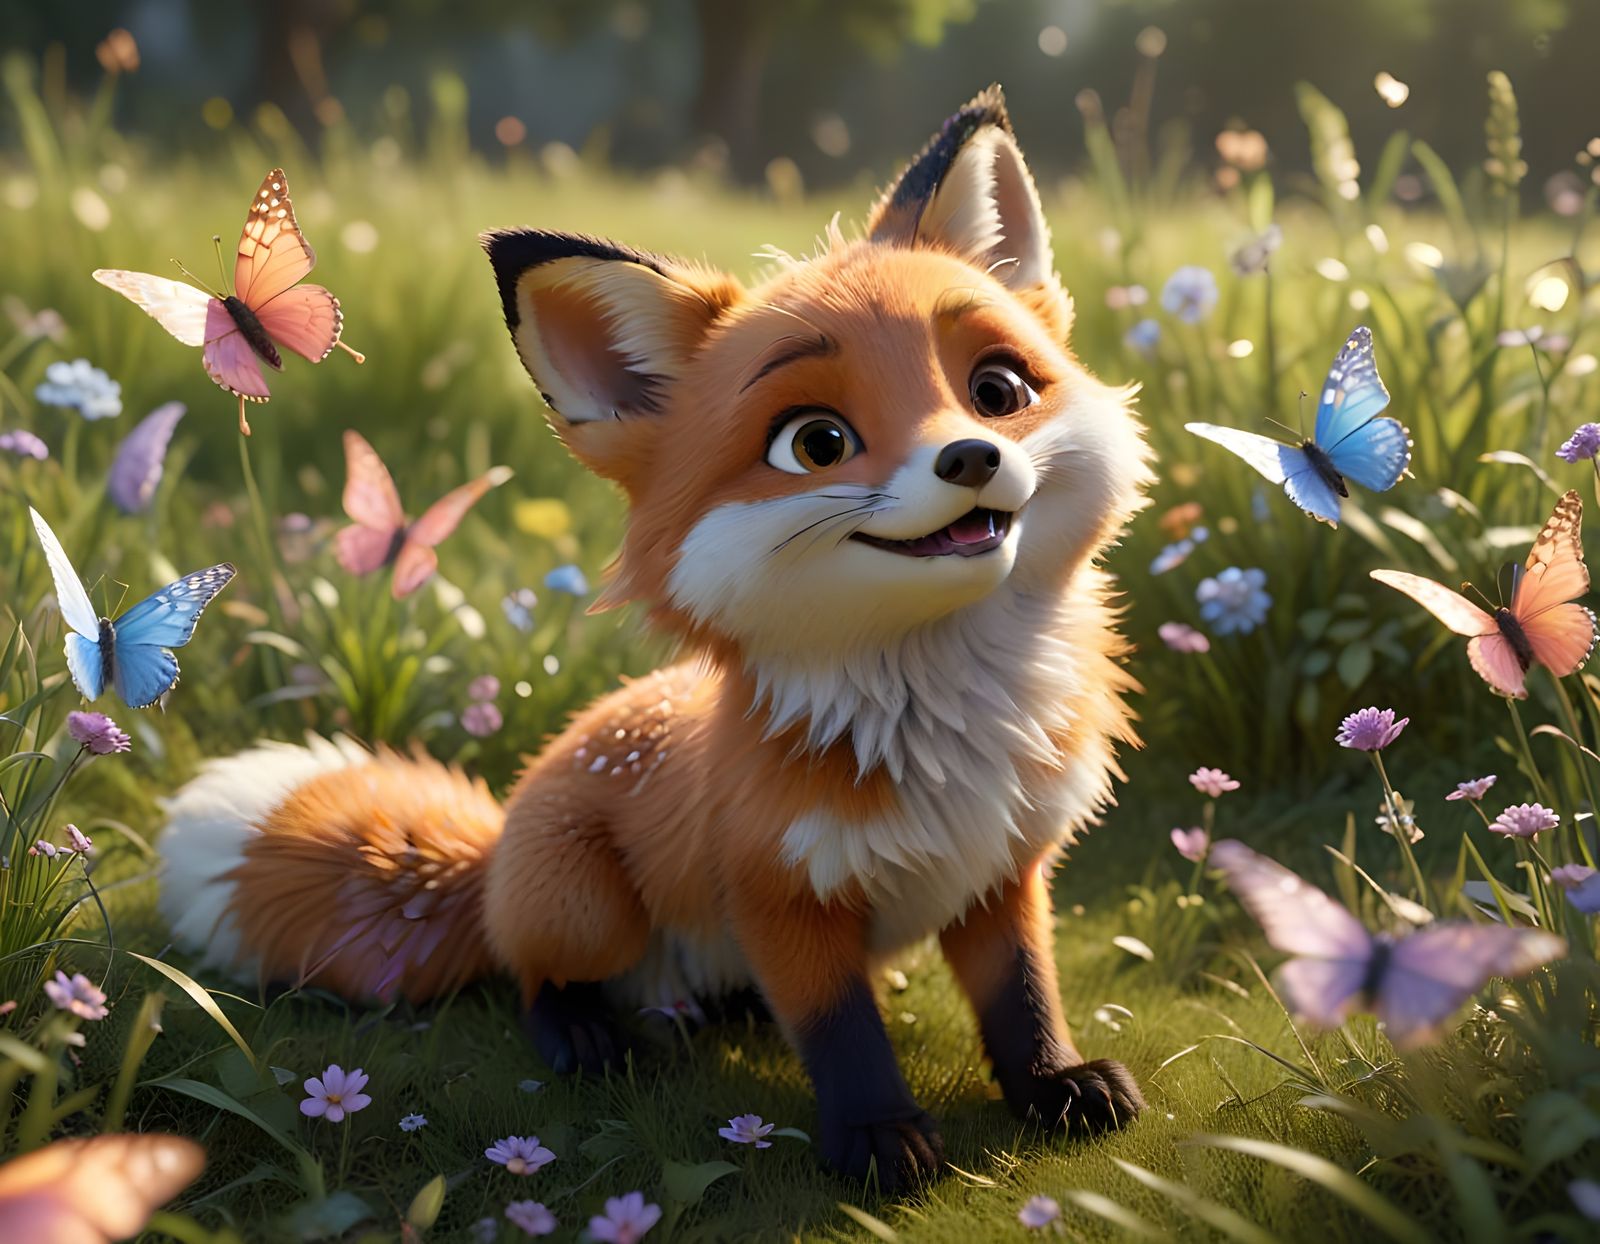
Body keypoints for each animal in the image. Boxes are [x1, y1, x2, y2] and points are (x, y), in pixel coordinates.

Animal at [157, 85, 1153, 1191]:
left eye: (998, 391)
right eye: (816, 443)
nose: (971, 457)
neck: (942, 725)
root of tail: (495, 849)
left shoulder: (1001, 871)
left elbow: (1022, 998)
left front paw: (1054, 1085)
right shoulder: (780, 895)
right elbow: (840, 1030)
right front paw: (876, 1135)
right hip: (585, 907)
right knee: (531, 977)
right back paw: (586, 1035)